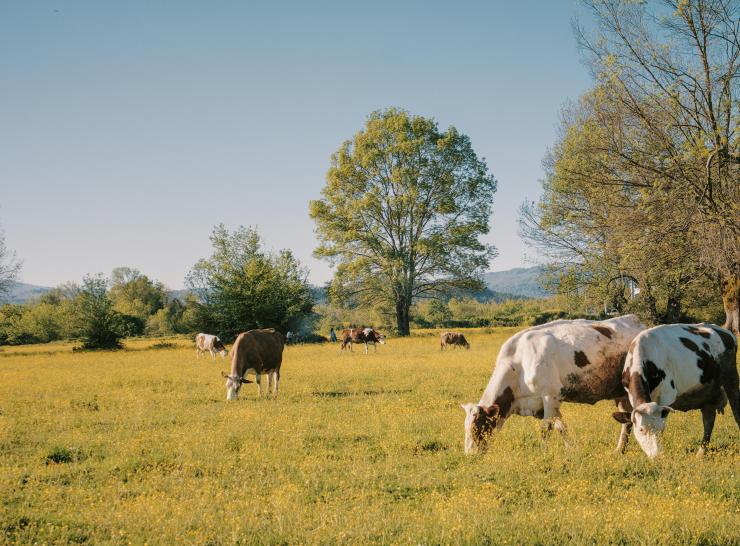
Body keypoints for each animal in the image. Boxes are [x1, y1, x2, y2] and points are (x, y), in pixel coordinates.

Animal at [461, 314, 646, 454]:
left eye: (477, 427)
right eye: (465, 427)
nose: (470, 454)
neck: (518, 364)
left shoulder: (550, 396)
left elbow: (546, 428)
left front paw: (544, 453)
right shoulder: (546, 403)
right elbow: (560, 426)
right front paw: (572, 449)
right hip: (620, 394)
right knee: (626, 420)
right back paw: (619, 450)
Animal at [612, 323, 739, 458]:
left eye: (661, 429)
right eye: (641, 429)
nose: (656, 456)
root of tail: (723, 330)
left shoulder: (666, 396)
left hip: (731, 378)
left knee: (736, 412)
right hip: (707, 392)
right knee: (708, 419)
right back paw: (701, 453)